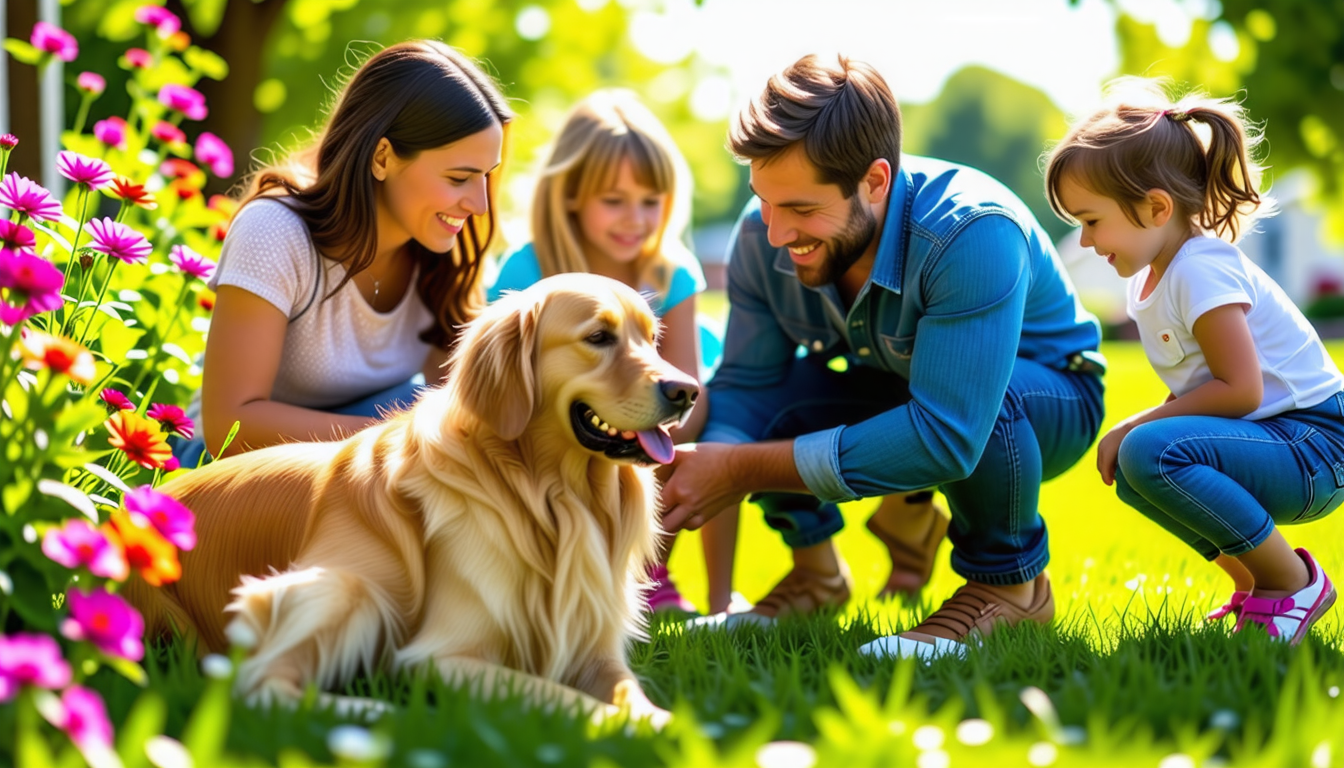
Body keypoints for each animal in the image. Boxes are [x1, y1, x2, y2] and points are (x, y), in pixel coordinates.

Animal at [124, 274, 698, 720]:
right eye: (598, 337)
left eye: (652, 339)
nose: (687, 391)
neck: (552, 496)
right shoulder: (440, 658)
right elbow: (571, 702)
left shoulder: (599, 654)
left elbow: (634, 697)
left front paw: (669, 725)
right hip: (347, 586)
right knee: (258, 685)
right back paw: (376, 712)